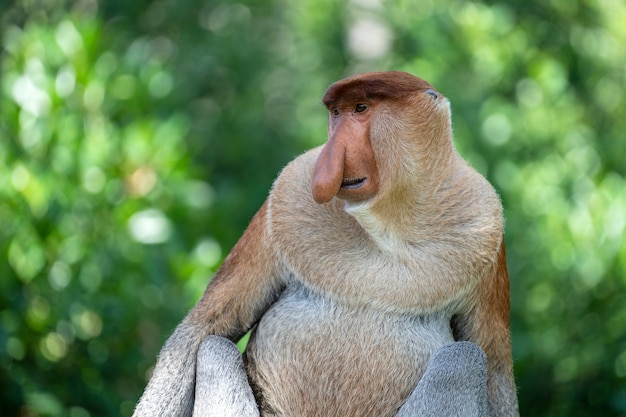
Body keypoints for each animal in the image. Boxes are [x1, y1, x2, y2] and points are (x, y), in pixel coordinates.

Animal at [134, 71, 520, 416]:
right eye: (336, 113)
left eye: (361, 108)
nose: (330, 159)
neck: (388, 222)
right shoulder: (284, 197)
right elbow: (203, 329)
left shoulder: (485, 226)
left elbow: (495, 370)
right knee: (214, 348)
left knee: (464, 358)